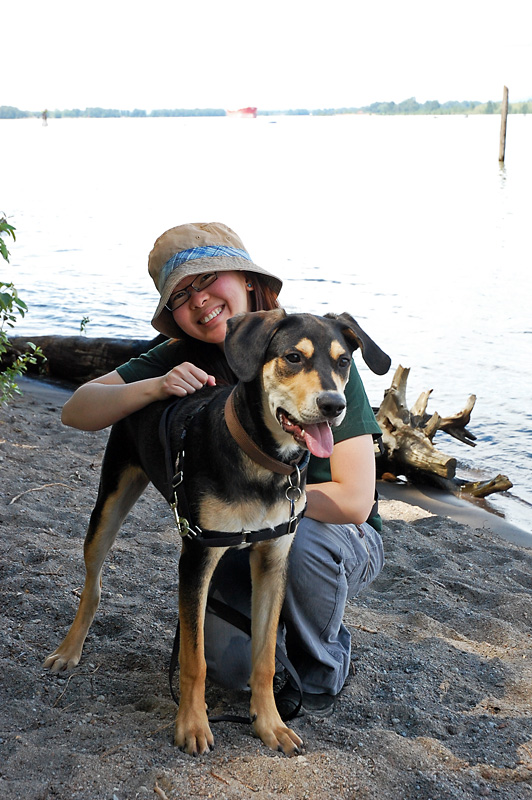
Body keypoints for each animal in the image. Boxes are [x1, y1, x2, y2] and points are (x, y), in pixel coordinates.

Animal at [43, 310, 390, 760]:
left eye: (344, 361)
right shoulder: (197, 556)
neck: (263, 461)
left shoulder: (273, 558)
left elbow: (265, 658)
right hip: (109, 503)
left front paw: (270, 723)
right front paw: (192, 724)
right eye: (293, 357)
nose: (334, 405)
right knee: (93, 585)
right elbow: (195, 658)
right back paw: (69, 650)